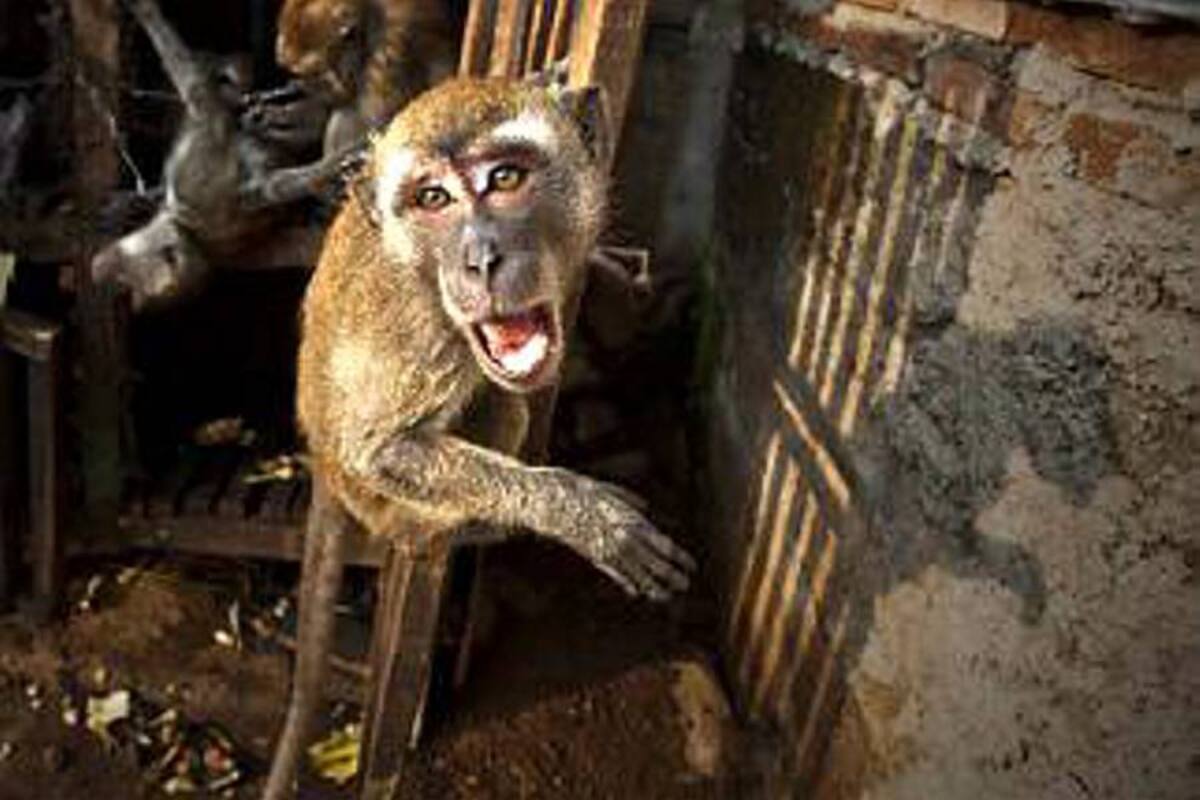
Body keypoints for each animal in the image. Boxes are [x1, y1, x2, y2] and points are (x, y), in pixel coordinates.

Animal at [261, 76, 694, 799]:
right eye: (433, 198)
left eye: (506, 177)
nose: (481, 261)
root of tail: (317, 460)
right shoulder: (423, 334)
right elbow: (383, 449)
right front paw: (583, 518)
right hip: (383, 507)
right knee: (497, 408)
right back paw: (477, 532)